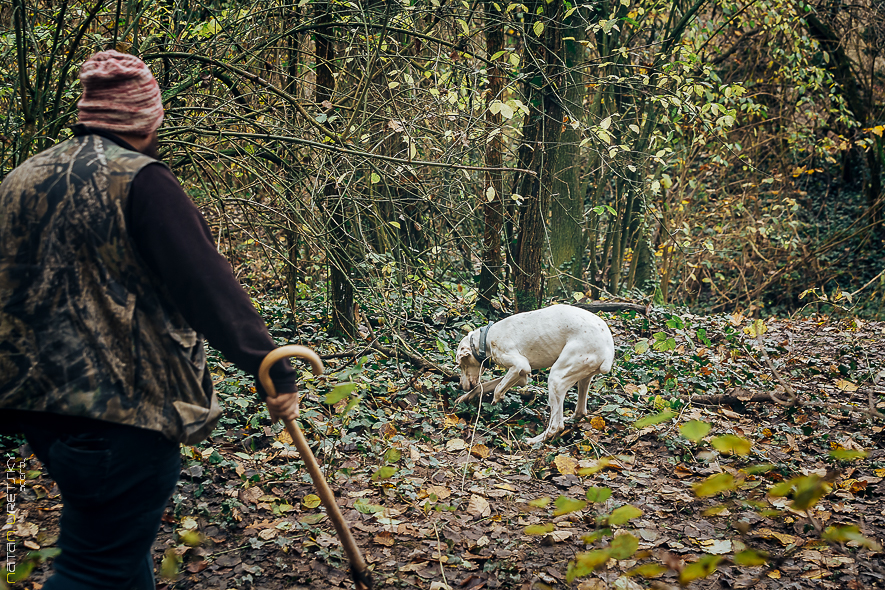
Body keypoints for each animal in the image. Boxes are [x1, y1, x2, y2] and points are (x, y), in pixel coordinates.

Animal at [456, 306, 616, 444]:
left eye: (461, 364)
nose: (460, 386)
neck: (486, 339)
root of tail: (608, 351)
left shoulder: (520, 365)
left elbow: (498, 388)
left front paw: (497, 398)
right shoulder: (521, 376)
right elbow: (484, 386)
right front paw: (465, 397)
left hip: (556, 379)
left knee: (556, 426)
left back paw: (534, 440)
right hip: (582, 378)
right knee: (580, 412)